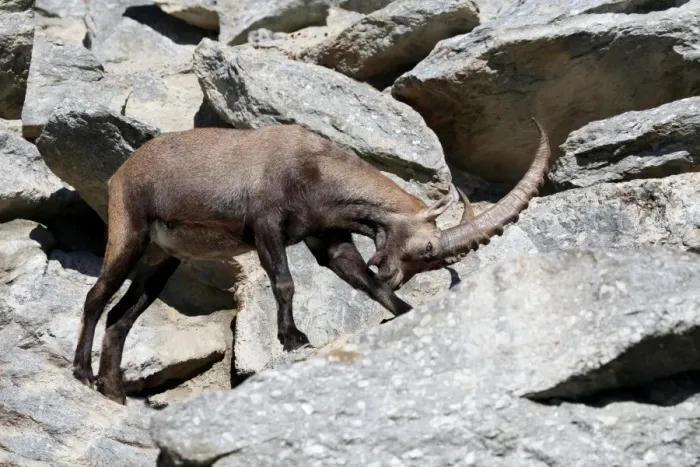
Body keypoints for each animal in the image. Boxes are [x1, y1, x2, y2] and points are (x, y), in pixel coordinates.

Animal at [72, 119, 551, 404]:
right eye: (428, 249)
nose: (397, 276)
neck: (314, 168)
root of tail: (122, 172)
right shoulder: (266, 227)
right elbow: (284, 282)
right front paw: (293, 338)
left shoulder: (329, 238)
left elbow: (364, 282)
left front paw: (404, 311)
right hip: (130, 233)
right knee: (96, 297)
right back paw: (80, 372)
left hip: (163, 260)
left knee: (120, 317)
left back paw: (113, 392)